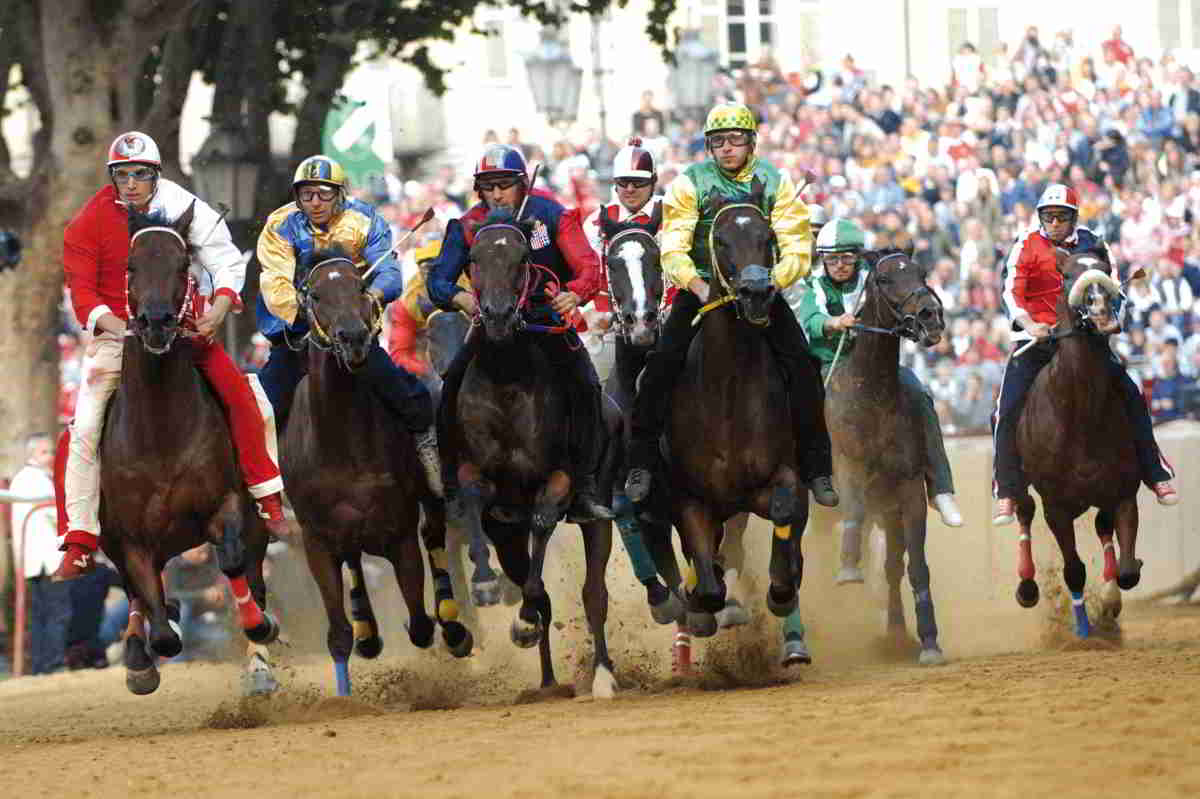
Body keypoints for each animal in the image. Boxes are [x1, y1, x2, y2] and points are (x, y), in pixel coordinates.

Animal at [280, 247, 472, 691]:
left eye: (360, 286)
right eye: (315, 294)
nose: (353, 337)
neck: (345, 441)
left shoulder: (397, 529)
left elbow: (419, 623)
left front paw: (446, 629)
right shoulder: (316, 538)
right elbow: (338, 634)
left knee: (433, 536)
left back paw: (453, 625)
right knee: (353, 560)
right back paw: (367, 630)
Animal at [448, 208, 619, 695]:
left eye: (522, 258)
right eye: (473, 257)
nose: (498, 315)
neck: (507, 377)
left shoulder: (558, 479)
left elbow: (544, 521)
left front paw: (522, 622)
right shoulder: (480, 480)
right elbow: (472, 498)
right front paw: (485, 584)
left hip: (599, 513)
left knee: (593, 593)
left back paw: (603, 675)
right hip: (508, 530)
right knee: (537, 585)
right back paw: (546, 679)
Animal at [657, 179, 806, 643]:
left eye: (767, 236)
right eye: (719, 239)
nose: (756, 294)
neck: (728, 394)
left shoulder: (779, 476)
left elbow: (785, 510)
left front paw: (781, 590)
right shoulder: (688, 497)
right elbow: (706, 585)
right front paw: (704, 606)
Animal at [825, 245, 945, 662]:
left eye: (921, 272)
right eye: (885, 278)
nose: (930, 315)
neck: (873, 398)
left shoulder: (907, 493)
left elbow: (915, 566)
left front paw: (929, 641)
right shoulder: (848, 471)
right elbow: (854, 514)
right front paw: (848, 570)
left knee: (893, 565)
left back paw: (894, 633)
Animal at [1008, 249, 1137, 633]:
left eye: (1106, 270)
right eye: (1065, 276)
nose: (1102, 315)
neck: (1081, 414)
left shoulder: (1123, 492)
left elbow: (1127, 572)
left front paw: (1109, 603)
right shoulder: (1057, 506)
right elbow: (1074, 570)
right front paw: (1082, 630)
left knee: (1102, 527)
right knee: (1023, 510)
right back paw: (1027, 587)